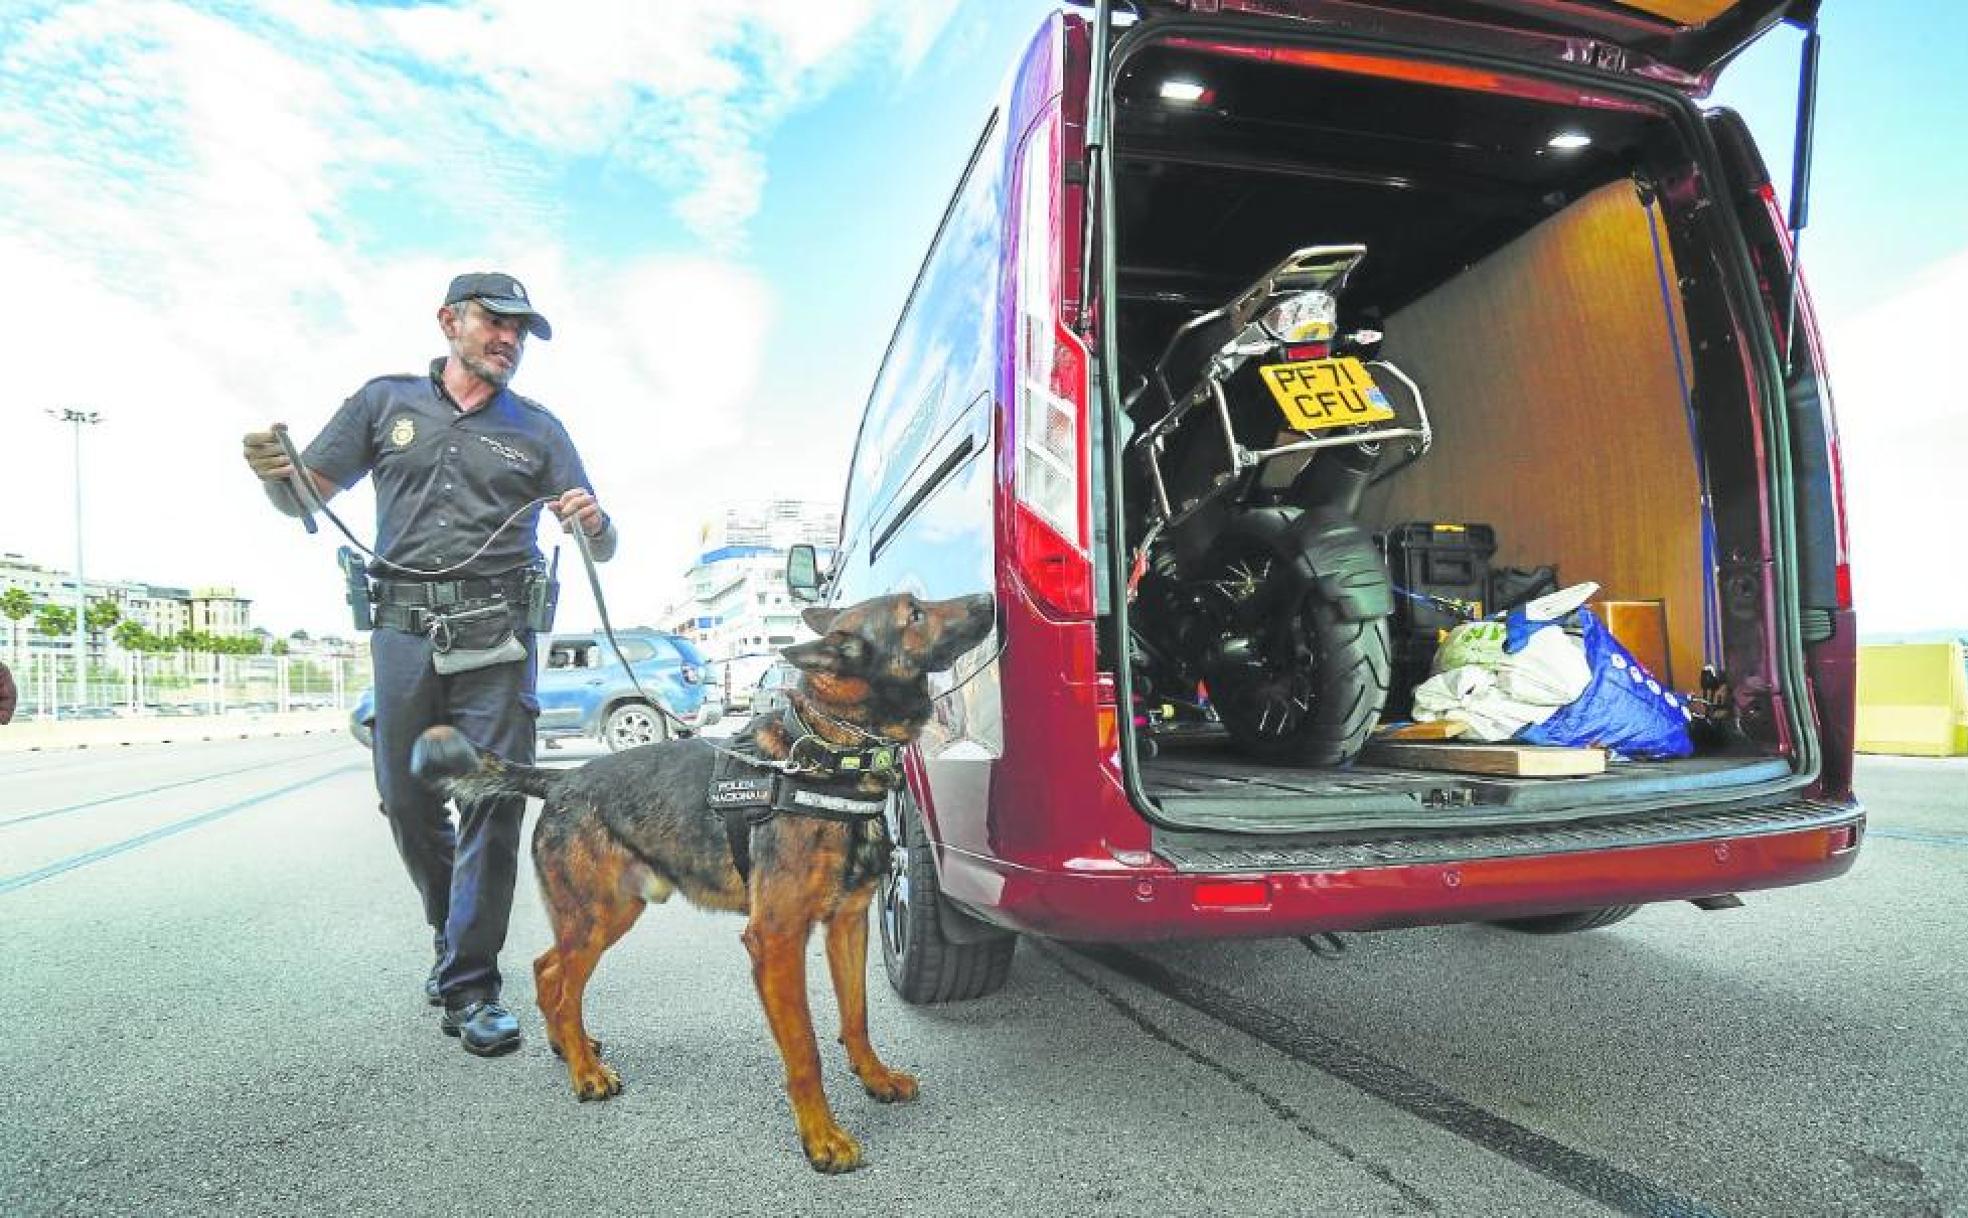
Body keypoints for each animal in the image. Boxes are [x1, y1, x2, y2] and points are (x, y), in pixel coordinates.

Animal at [417, 590, 999, 1172]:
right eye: (915, 613)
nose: (988, 597)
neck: (834, 752)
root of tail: (561, 779)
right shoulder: (777, 941)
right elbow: (805, 1050)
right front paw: (821, 1137)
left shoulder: (847, 926)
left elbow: (856, 1018)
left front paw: (874, 1079)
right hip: (594, 920)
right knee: (562, 989)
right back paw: (585, 1073)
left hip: (611, 915)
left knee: (548, 970)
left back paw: (568, 1046)